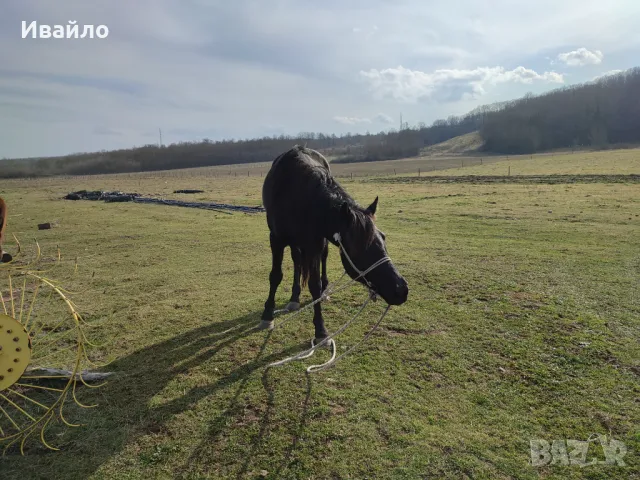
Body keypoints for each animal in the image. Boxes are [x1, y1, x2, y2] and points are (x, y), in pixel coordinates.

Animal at [260, 145, 410, 342]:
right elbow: (275, 276)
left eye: (383, 238)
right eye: (358, 249)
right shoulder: (276, 239)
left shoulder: (315, 244)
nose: (401, 289)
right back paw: (294, 297)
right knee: (297, 261)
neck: (297, 196)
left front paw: (320, 330)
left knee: (319, 260)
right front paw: (267, 315)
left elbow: (315, 285)